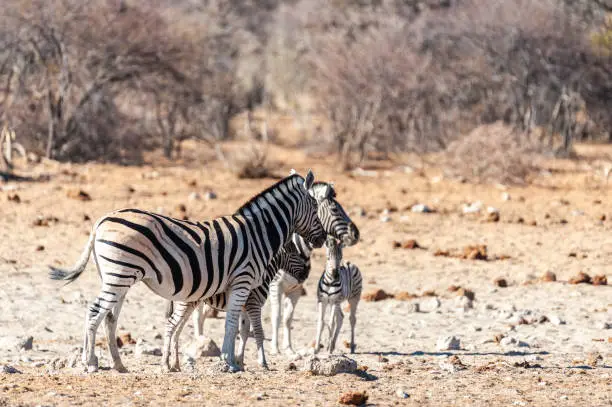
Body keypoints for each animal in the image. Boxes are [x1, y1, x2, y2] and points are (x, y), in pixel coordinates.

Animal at [163, 241, 308, 372]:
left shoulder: (244, 308)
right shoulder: (254, 304)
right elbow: (258, 332)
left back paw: (175, 364)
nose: (306, 274)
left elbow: (243, 332)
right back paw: (166, 365)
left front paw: (239, 362)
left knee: (177, 329)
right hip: (186, 303)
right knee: (171, 324)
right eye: (294, 254)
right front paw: (263, 363)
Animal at [268, 183, 358, 356]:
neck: (299, 250)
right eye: (335, 209)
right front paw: (275, 349)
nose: (356, 234)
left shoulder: (296, 289)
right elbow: (276, 316)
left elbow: (288, 318)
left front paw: (289, 348)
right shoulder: (276, 286)